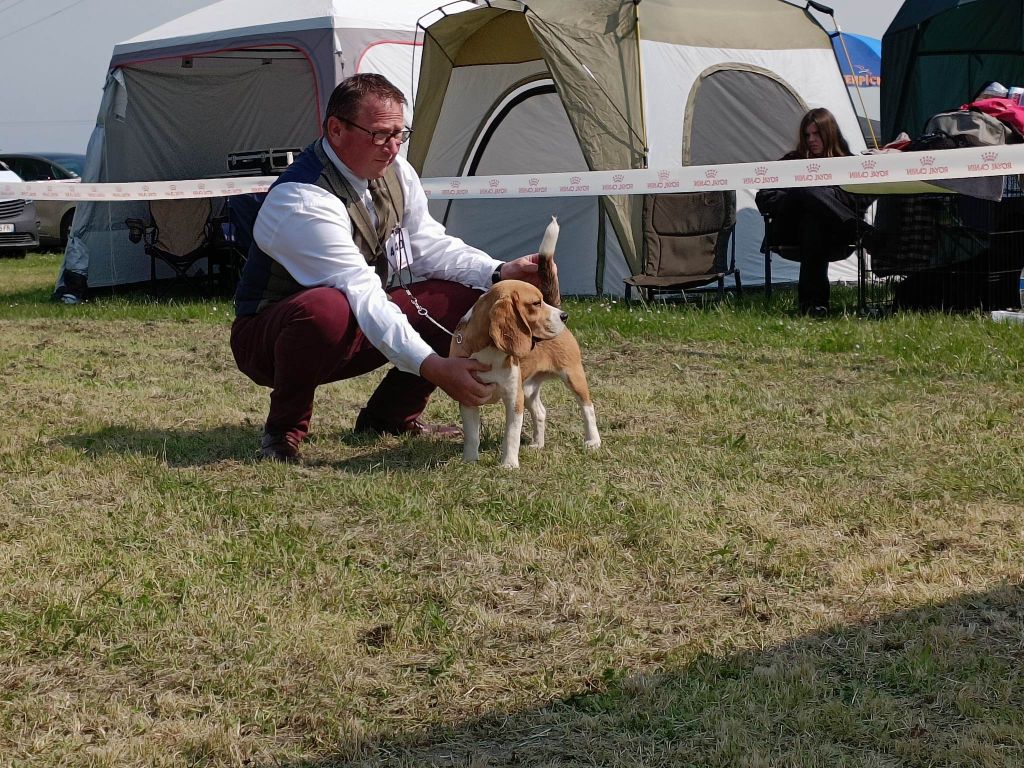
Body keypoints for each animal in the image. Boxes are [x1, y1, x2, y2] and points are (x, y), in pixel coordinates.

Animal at [448, 218, 598, 468]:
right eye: (536, 303)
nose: (564, 316)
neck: (491, 353)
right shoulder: (467, 396)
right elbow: (471, 434)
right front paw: (469, 461)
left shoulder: (513, 398)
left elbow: (511, 435)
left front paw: (508, 464)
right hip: (528, 389)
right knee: (541, 412)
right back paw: (538, 444)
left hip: (573, 375)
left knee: (588, 408)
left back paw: (593, 441)